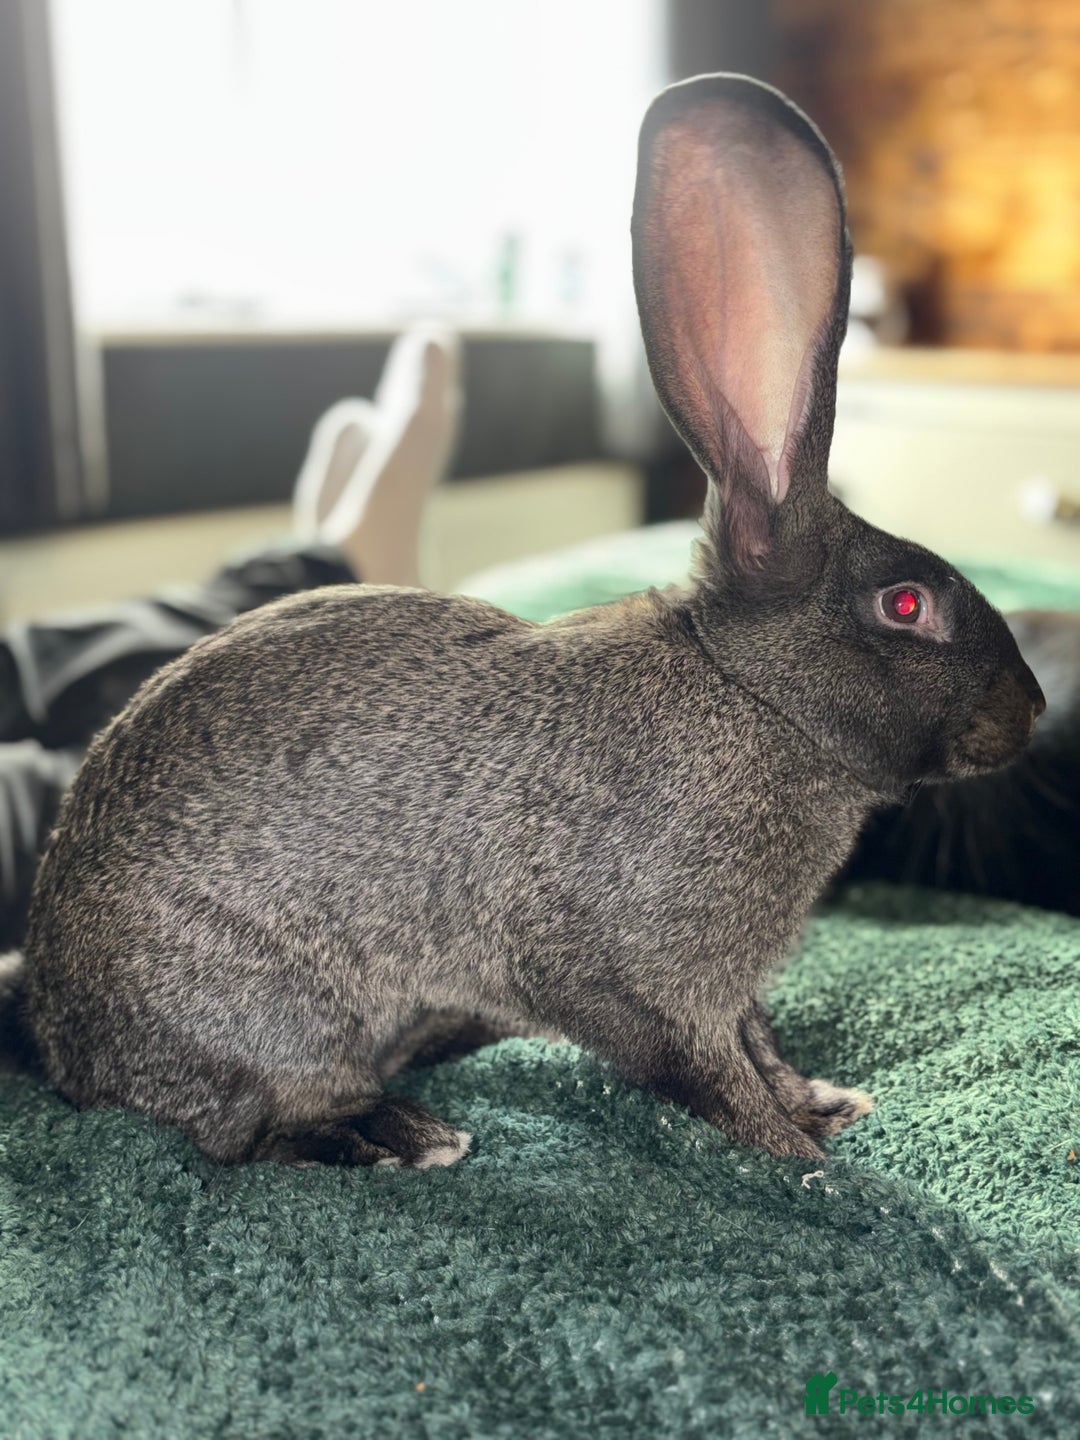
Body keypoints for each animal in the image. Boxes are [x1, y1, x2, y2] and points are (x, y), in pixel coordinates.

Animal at [16, 74, 1044, 1167]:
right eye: (907, 604)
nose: (1030, 709)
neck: (751, 694)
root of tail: (57, 1035)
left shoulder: (726, 988)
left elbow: (757, 1039)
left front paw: (819, 1105)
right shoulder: (635, 973)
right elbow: (703, 1067)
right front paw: (792, 1155)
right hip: (262, 1014)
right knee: (247, 1128)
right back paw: (398, 1134)